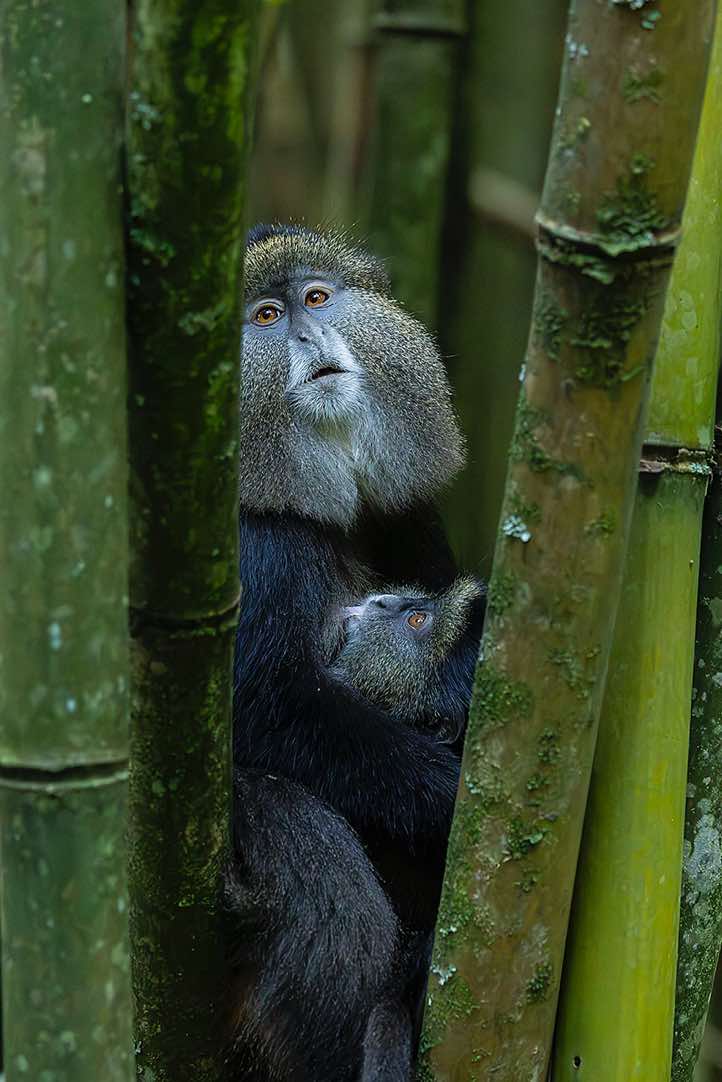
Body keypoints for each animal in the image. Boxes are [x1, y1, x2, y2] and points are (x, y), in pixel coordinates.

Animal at [228, 223, 481, 1080]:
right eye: (266, 318)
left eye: (316, 297)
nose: (309, 340)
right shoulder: (258, 551)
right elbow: (263, 713)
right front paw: (450, 793)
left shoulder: (411, 512)